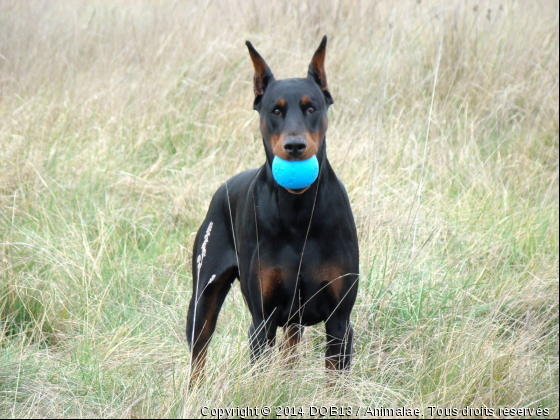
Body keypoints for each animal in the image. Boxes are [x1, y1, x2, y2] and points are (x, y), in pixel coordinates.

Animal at [187, 36, 358, 382]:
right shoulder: (262, 322)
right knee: (198, 353)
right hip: (204, 295)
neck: (298, 212)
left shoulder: (340, 321)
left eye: (312, 107)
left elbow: (336, 381)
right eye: (275, 110)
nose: (294, 147)